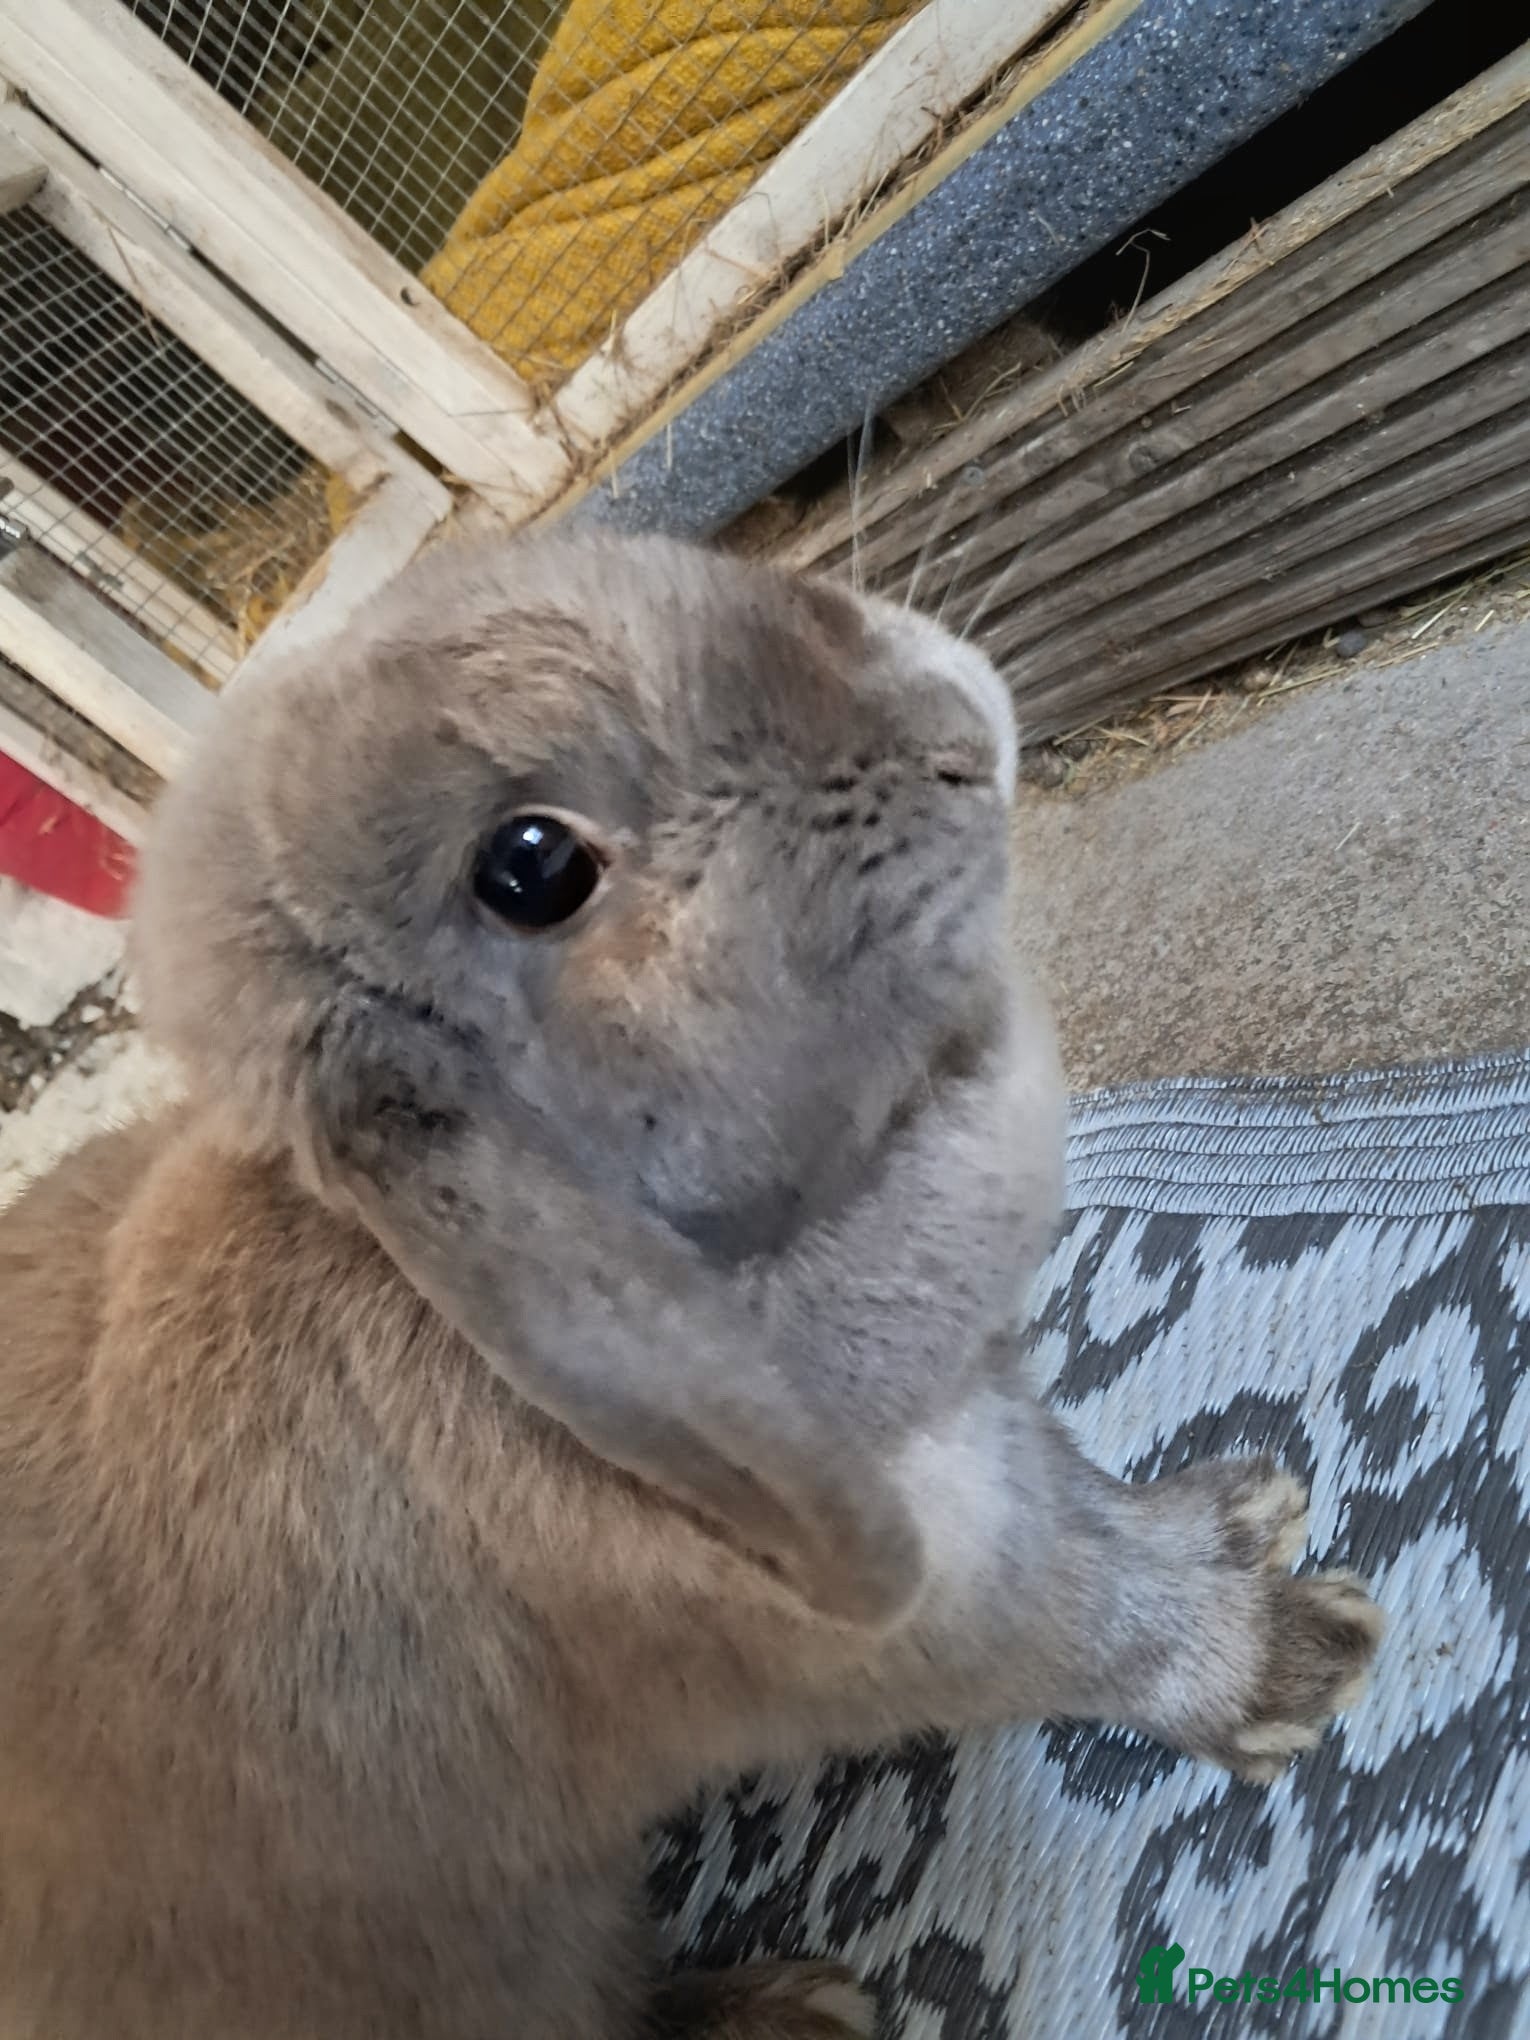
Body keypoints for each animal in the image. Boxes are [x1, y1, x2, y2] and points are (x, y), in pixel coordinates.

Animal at [0, 531, 1383, 2039]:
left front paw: (1240, 1512)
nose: (950, 724)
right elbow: (1094, 1622)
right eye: (530, 866)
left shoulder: (995, 1431)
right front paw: (1300, 1659)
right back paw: (798, 2007)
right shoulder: (924, 1603)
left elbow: (1098, 1513)